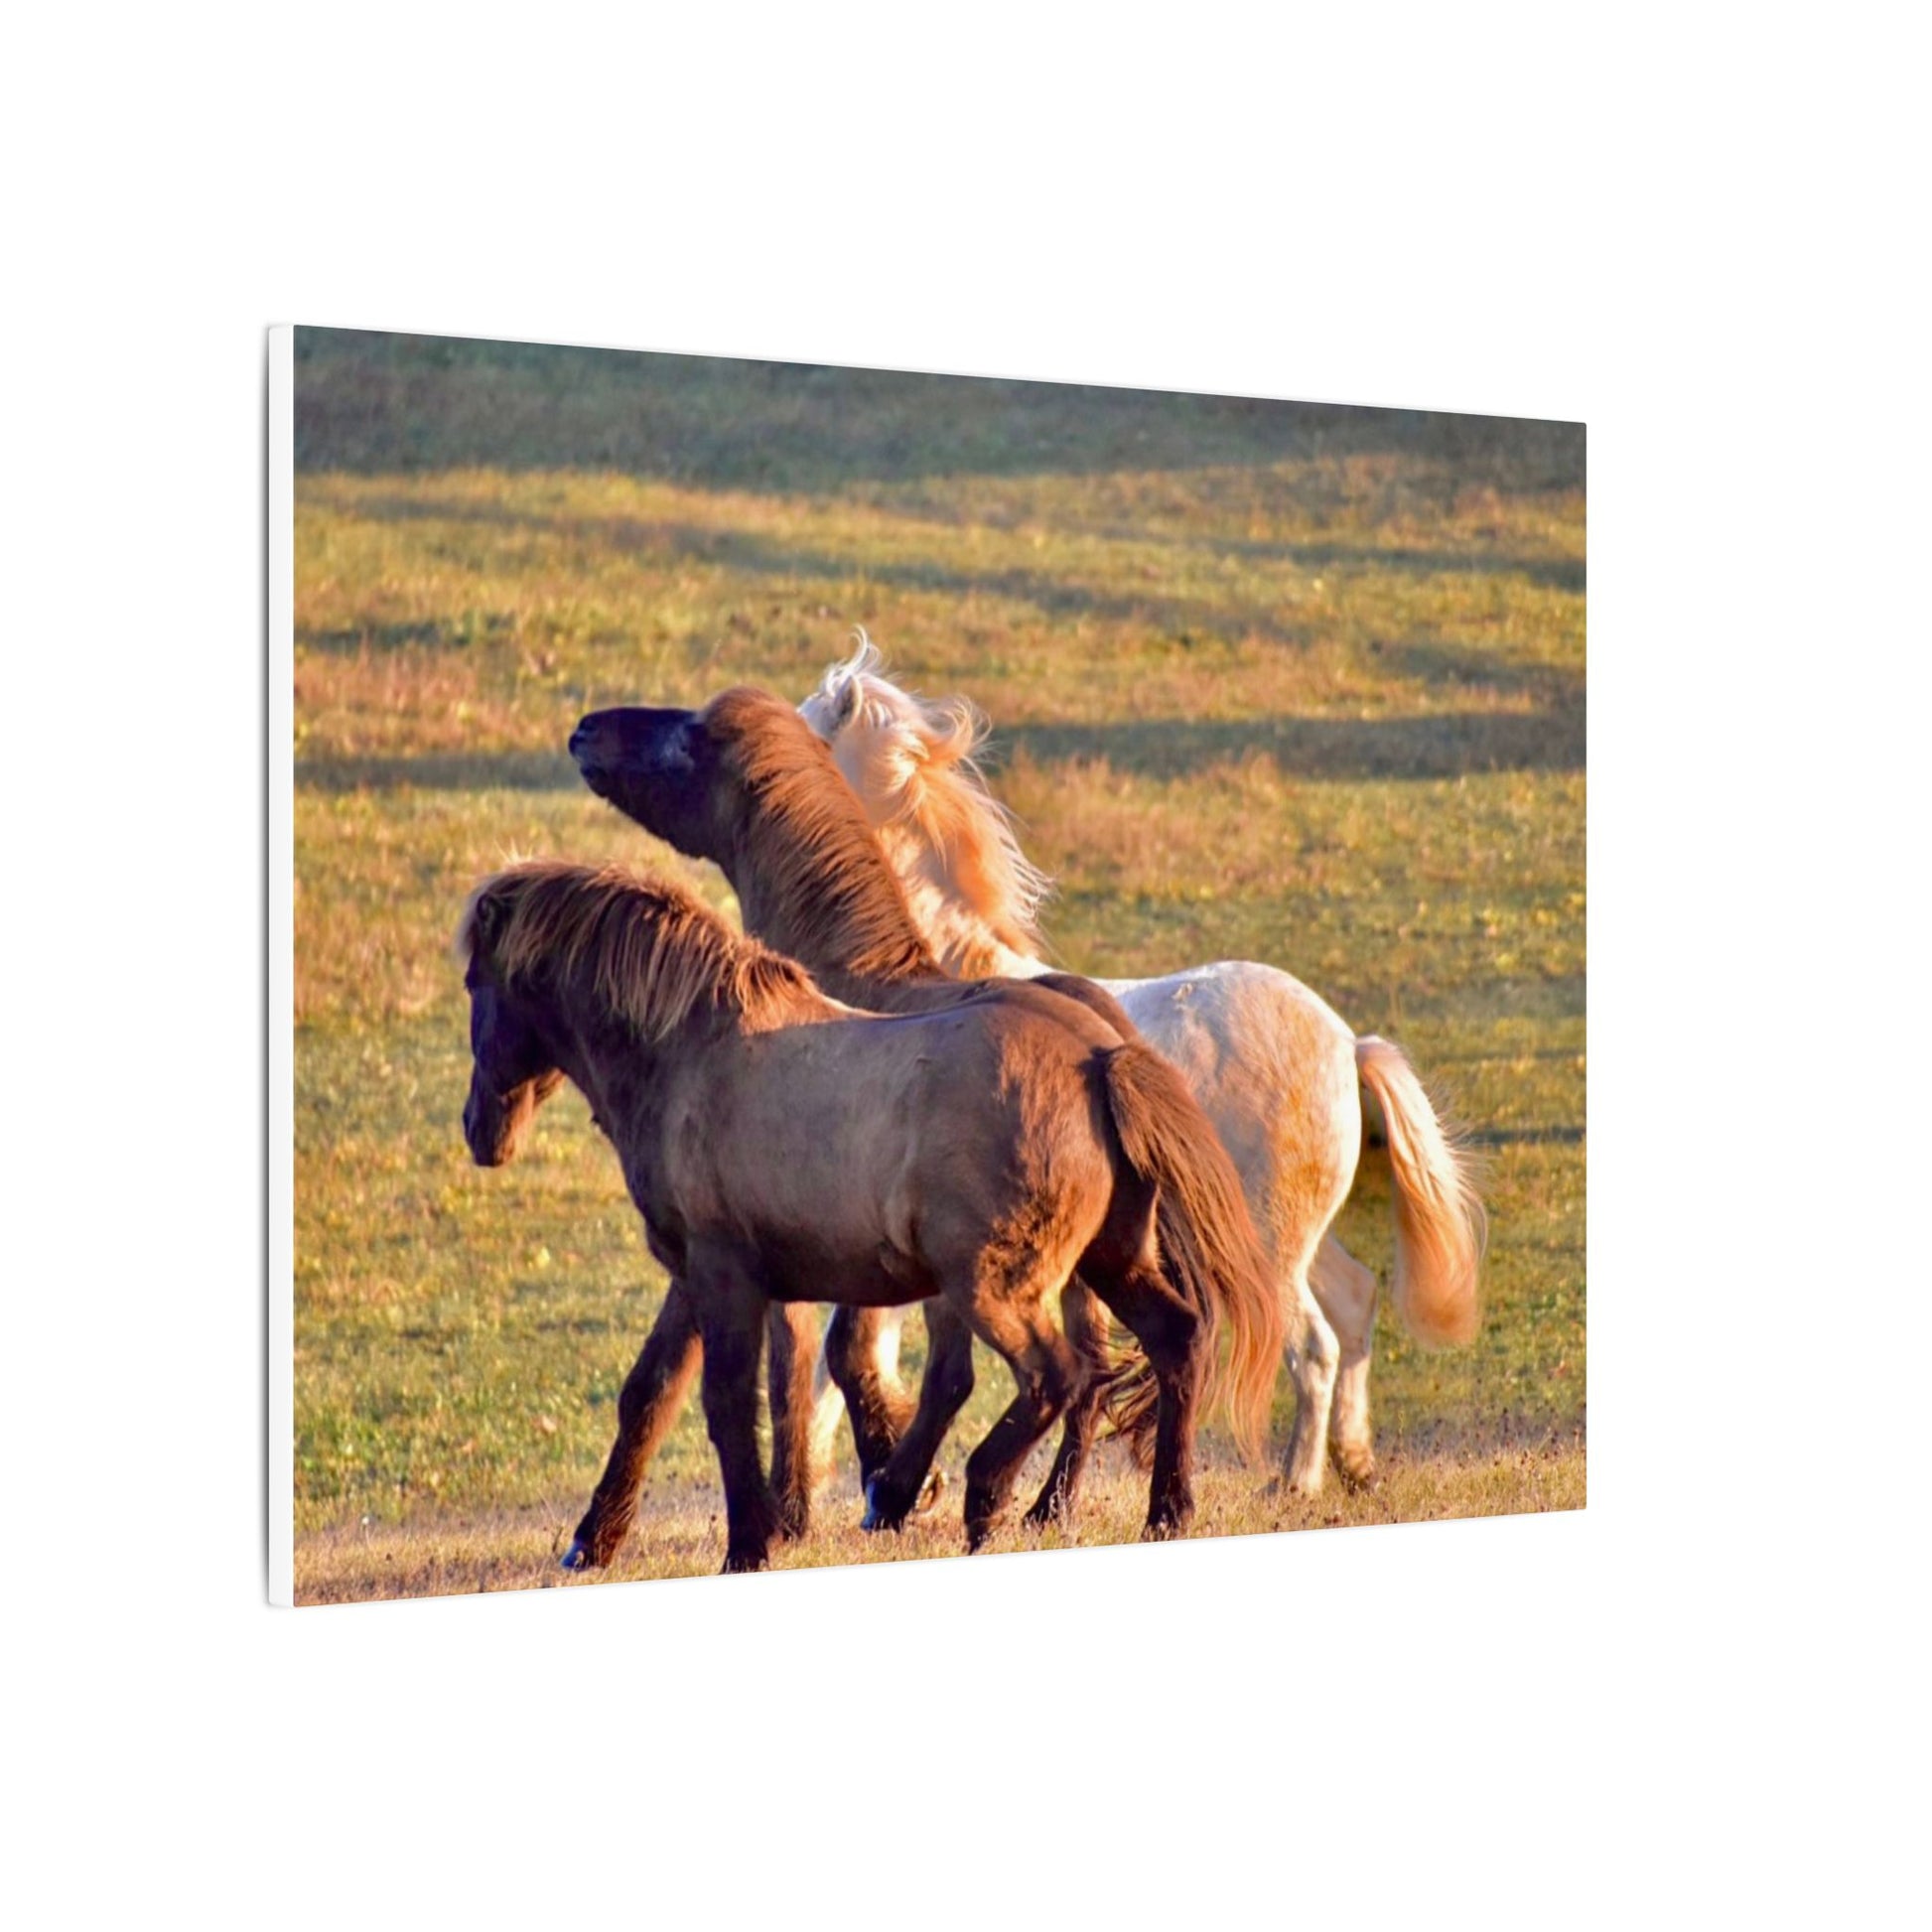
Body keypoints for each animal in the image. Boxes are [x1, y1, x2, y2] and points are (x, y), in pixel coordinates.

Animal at [459, 859, 1284, 1571]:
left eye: (474, 981)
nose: (479, 1129)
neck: (694, 1052)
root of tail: (1099, 1060)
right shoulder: (694, 1277)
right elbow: (650, 1395)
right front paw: (595, 1540)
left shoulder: (724, 1275)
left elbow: (727, 1404)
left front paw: (748, 1546)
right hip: (1111, 1260)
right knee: (1175, 1340)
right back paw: (1163, 1512)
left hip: (995, 1286)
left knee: (1060, 1374)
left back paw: (977, 1497)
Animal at [798, 635, 1487, 1485]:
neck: (926, 978)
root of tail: (1344, 1042)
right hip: (1301, 1239)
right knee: (1356, 1306)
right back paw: (1352, 1464)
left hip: (1268, 1248)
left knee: (1316, 1346)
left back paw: (1295, 1483)